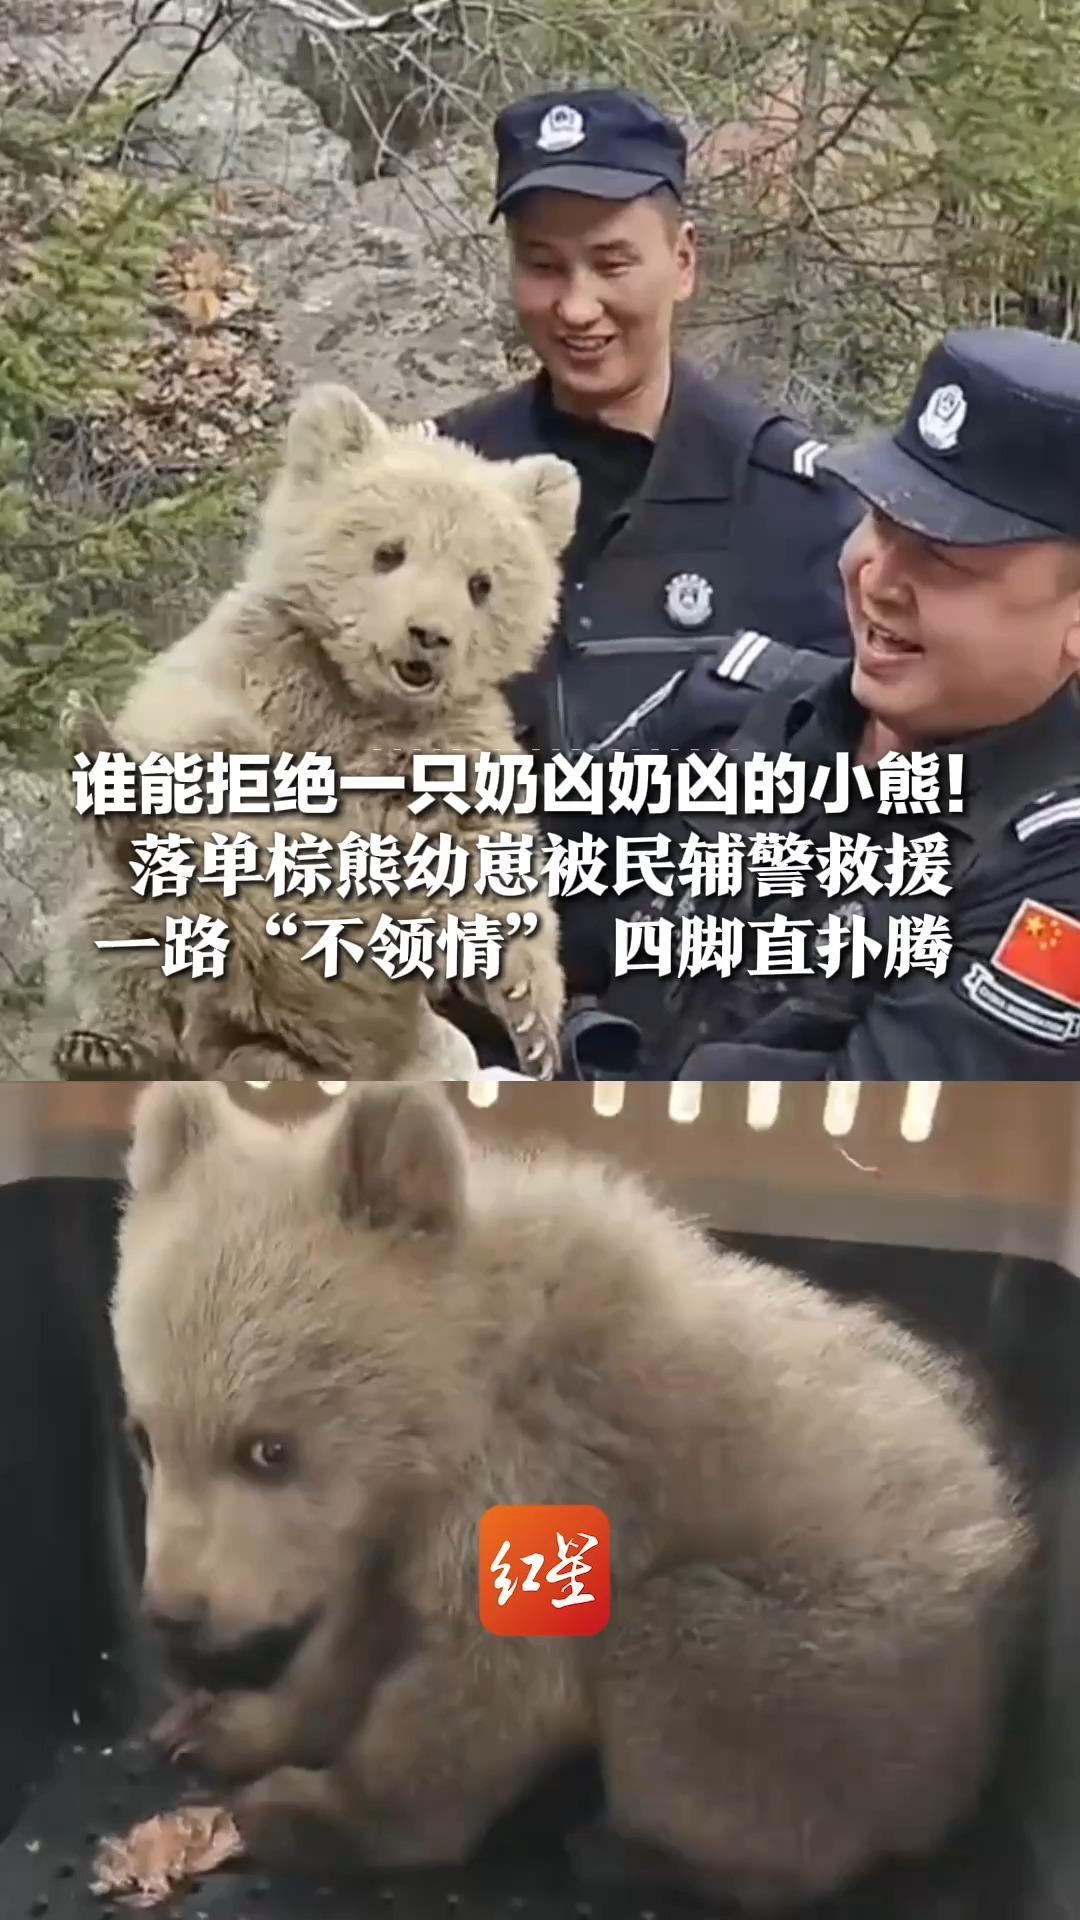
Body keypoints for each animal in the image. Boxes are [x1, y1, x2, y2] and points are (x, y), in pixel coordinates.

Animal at [42, 382, 581, 1082]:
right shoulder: (266, 663)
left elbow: (482, 848)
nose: (429, 636)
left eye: (481, 583)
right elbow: (203, 732)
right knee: (125, 931)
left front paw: (528, 1013)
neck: (360, 694)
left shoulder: (445, 741)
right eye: (389, 551)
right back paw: (109, 1046)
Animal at [112, 1079, 1035, 1911]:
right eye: (144, 1437)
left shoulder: (550, 1479)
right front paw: (223, 1725)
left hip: (842, 1672)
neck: (452, 1411)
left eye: (268, 1448)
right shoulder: (392, 1526)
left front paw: (310, 1810)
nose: (173, 1611)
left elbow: (489, 1687)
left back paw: (639, 1852)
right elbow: (354, 1637)